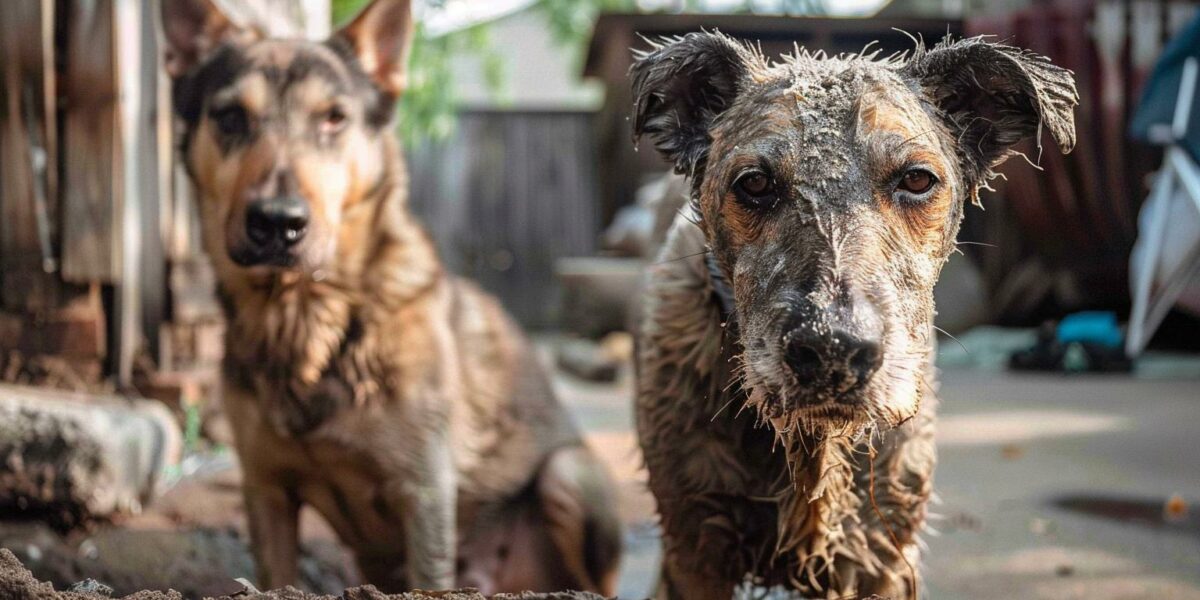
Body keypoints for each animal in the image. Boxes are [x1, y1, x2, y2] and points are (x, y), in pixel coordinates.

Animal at [158, 0, 619, 590]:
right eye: (231, 117)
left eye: (334, 118)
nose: (278, 223)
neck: (305, 322)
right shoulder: (266, 493)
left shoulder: (423, 495)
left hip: (568, 475)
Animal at [633, 34, 1075, 600]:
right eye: (753, 183)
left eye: (917, 179)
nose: (833, 351)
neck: (813, 447)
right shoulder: (696, 548)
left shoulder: (877, 554)